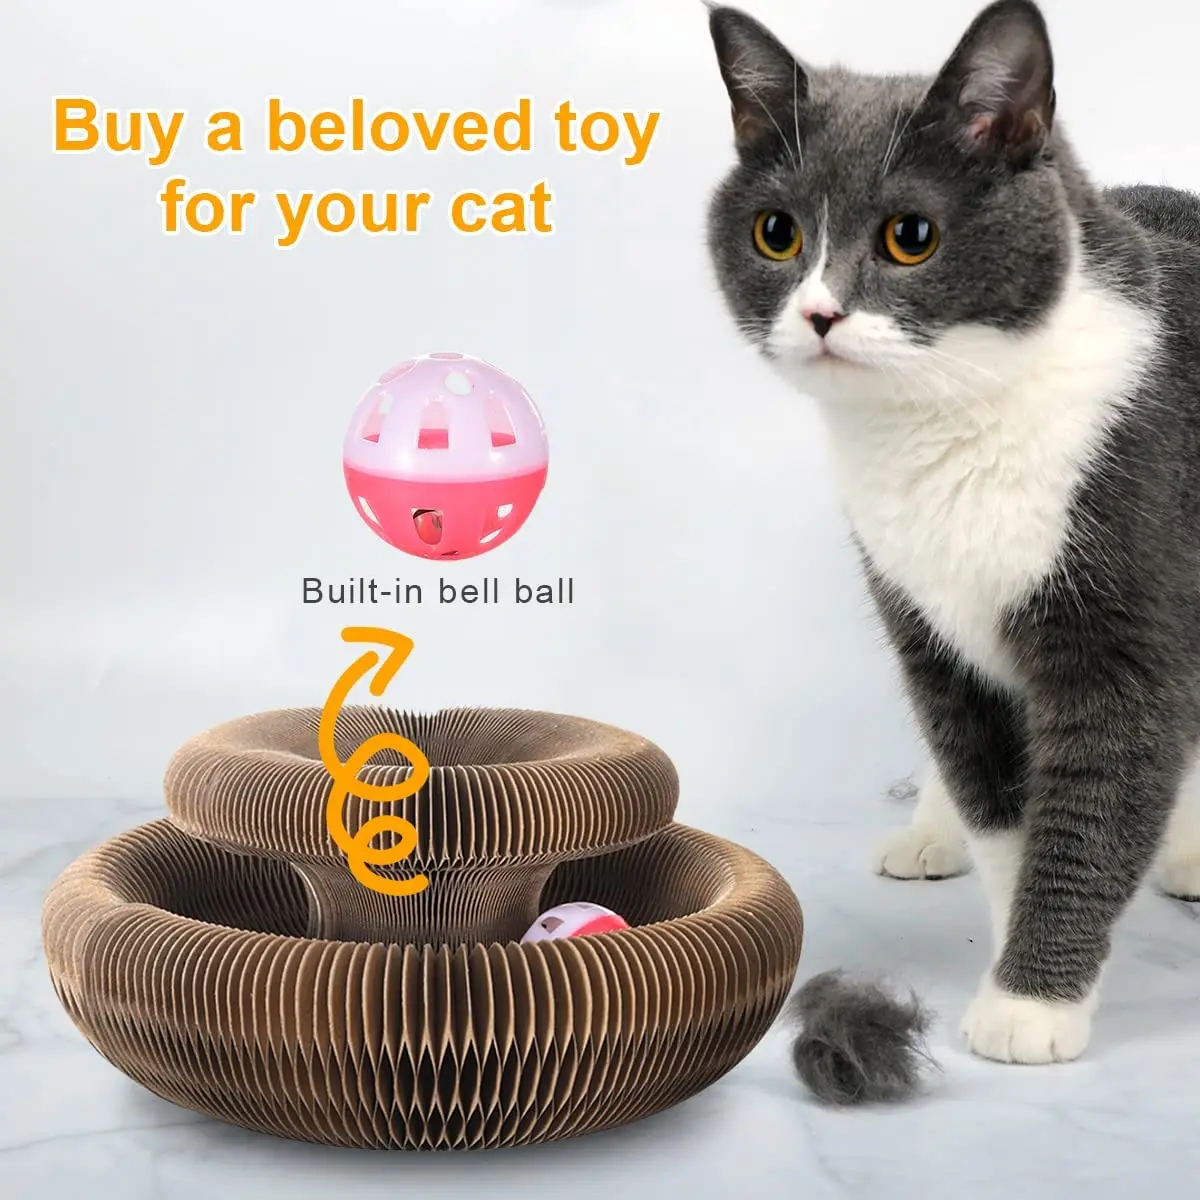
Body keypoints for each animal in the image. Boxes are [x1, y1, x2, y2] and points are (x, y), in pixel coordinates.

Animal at [700, 0, 1200, 1070]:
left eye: (911, 237)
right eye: (777, 233)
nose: (820, 312)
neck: (952, 418)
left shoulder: (1128, 616)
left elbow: (1097, 793)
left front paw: (1033, 1002)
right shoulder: (926, 622)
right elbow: (997, 799)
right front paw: (1015, 961)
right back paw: (932, 831)